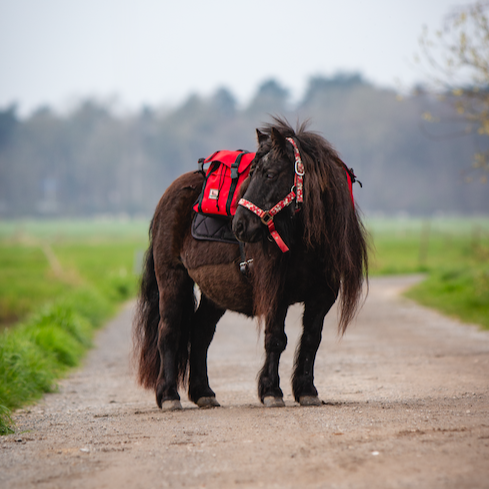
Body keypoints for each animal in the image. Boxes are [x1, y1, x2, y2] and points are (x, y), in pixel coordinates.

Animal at [132, 118, 368, 408]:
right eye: (252, 172)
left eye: (270, 174)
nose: (239, 225)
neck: (307, 241)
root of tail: (168, 196)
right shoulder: (276, 292)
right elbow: (276, 339)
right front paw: (271, 391)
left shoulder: (323, 296)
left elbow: (311, 339)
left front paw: (306, 390)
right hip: (172, 278)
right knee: (168, 331)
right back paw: (168, 395)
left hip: (215, 293)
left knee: (200, 333)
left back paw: (203, 392)